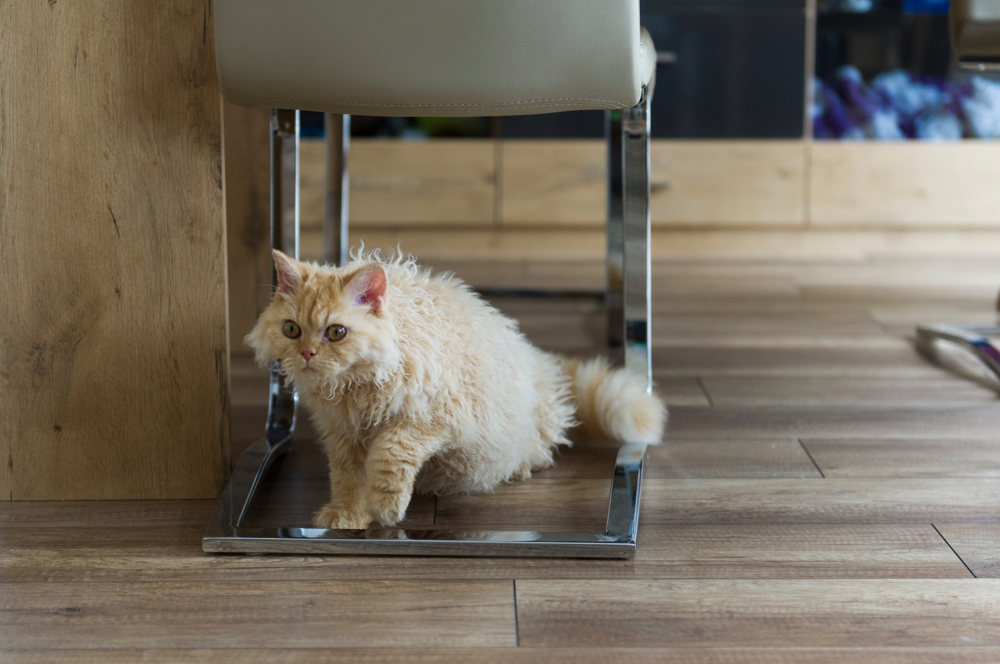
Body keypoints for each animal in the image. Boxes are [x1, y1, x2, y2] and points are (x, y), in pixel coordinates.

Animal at [246, 250, 668, 528]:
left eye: (336, 332)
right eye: (291, 330)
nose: (307, 354)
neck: (354, 389)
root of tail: (540, 362)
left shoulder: (438, 419)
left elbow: (391, 451)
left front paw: (387, 506)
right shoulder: (342, 437)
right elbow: (347, 480)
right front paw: (347, 515)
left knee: (542, 444)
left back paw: (527, 464)